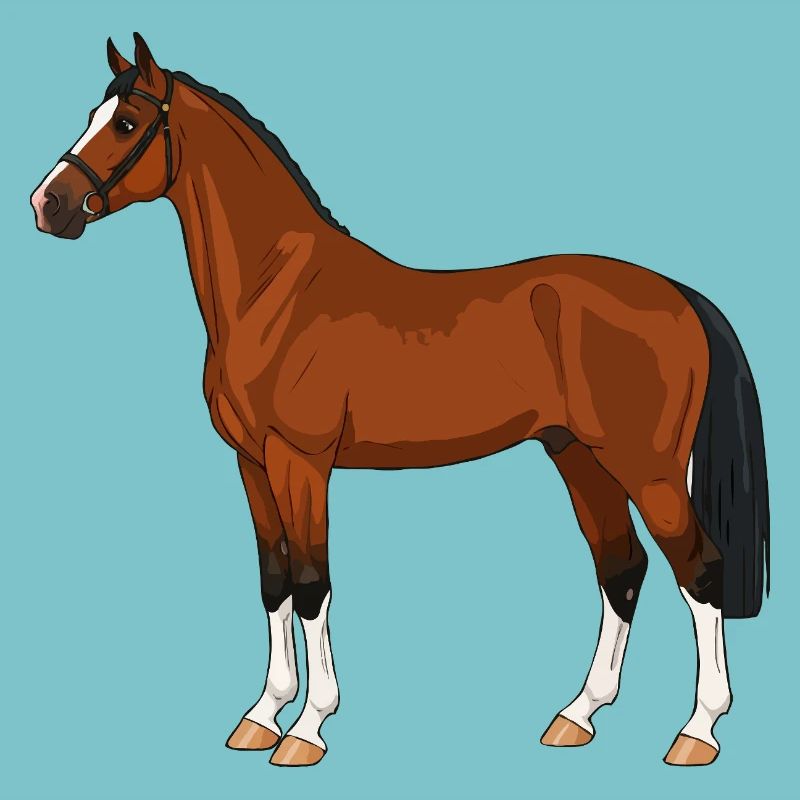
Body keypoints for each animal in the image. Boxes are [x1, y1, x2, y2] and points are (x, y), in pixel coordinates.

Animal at [30, 33, 769, 768]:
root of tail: (678, 294)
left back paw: (697, 732)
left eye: (126, 124)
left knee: (699, 571)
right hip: (578, 456)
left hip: (647, 468)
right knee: (622, 570)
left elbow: (311, 584)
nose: (47, 205)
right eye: (94, 116)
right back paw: (577, 715)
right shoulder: (250, 464)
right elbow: (273, 582)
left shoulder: (301, 462)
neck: (275, 291)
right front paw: (261, 716)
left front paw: (306, 729)